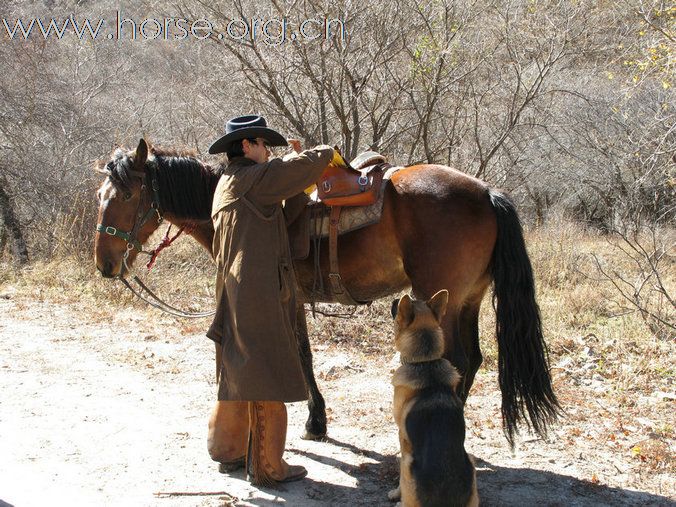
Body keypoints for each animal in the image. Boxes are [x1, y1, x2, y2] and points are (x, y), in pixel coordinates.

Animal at [93, 140, 560, 448]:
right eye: (101, 194)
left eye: (127, 194)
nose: (105, 263)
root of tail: (486, 192)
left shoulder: (291, 299)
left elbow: (302, 355)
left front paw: (315, 422)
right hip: (468, 300)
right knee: (475, 359)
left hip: (439, 298)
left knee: (457, 360)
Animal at [388, 290, 478, 507]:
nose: (395, 299)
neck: (425, 362)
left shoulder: (403, 438)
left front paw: (396, 493)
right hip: (471, 464)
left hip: (408, 462)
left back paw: (400, 502)